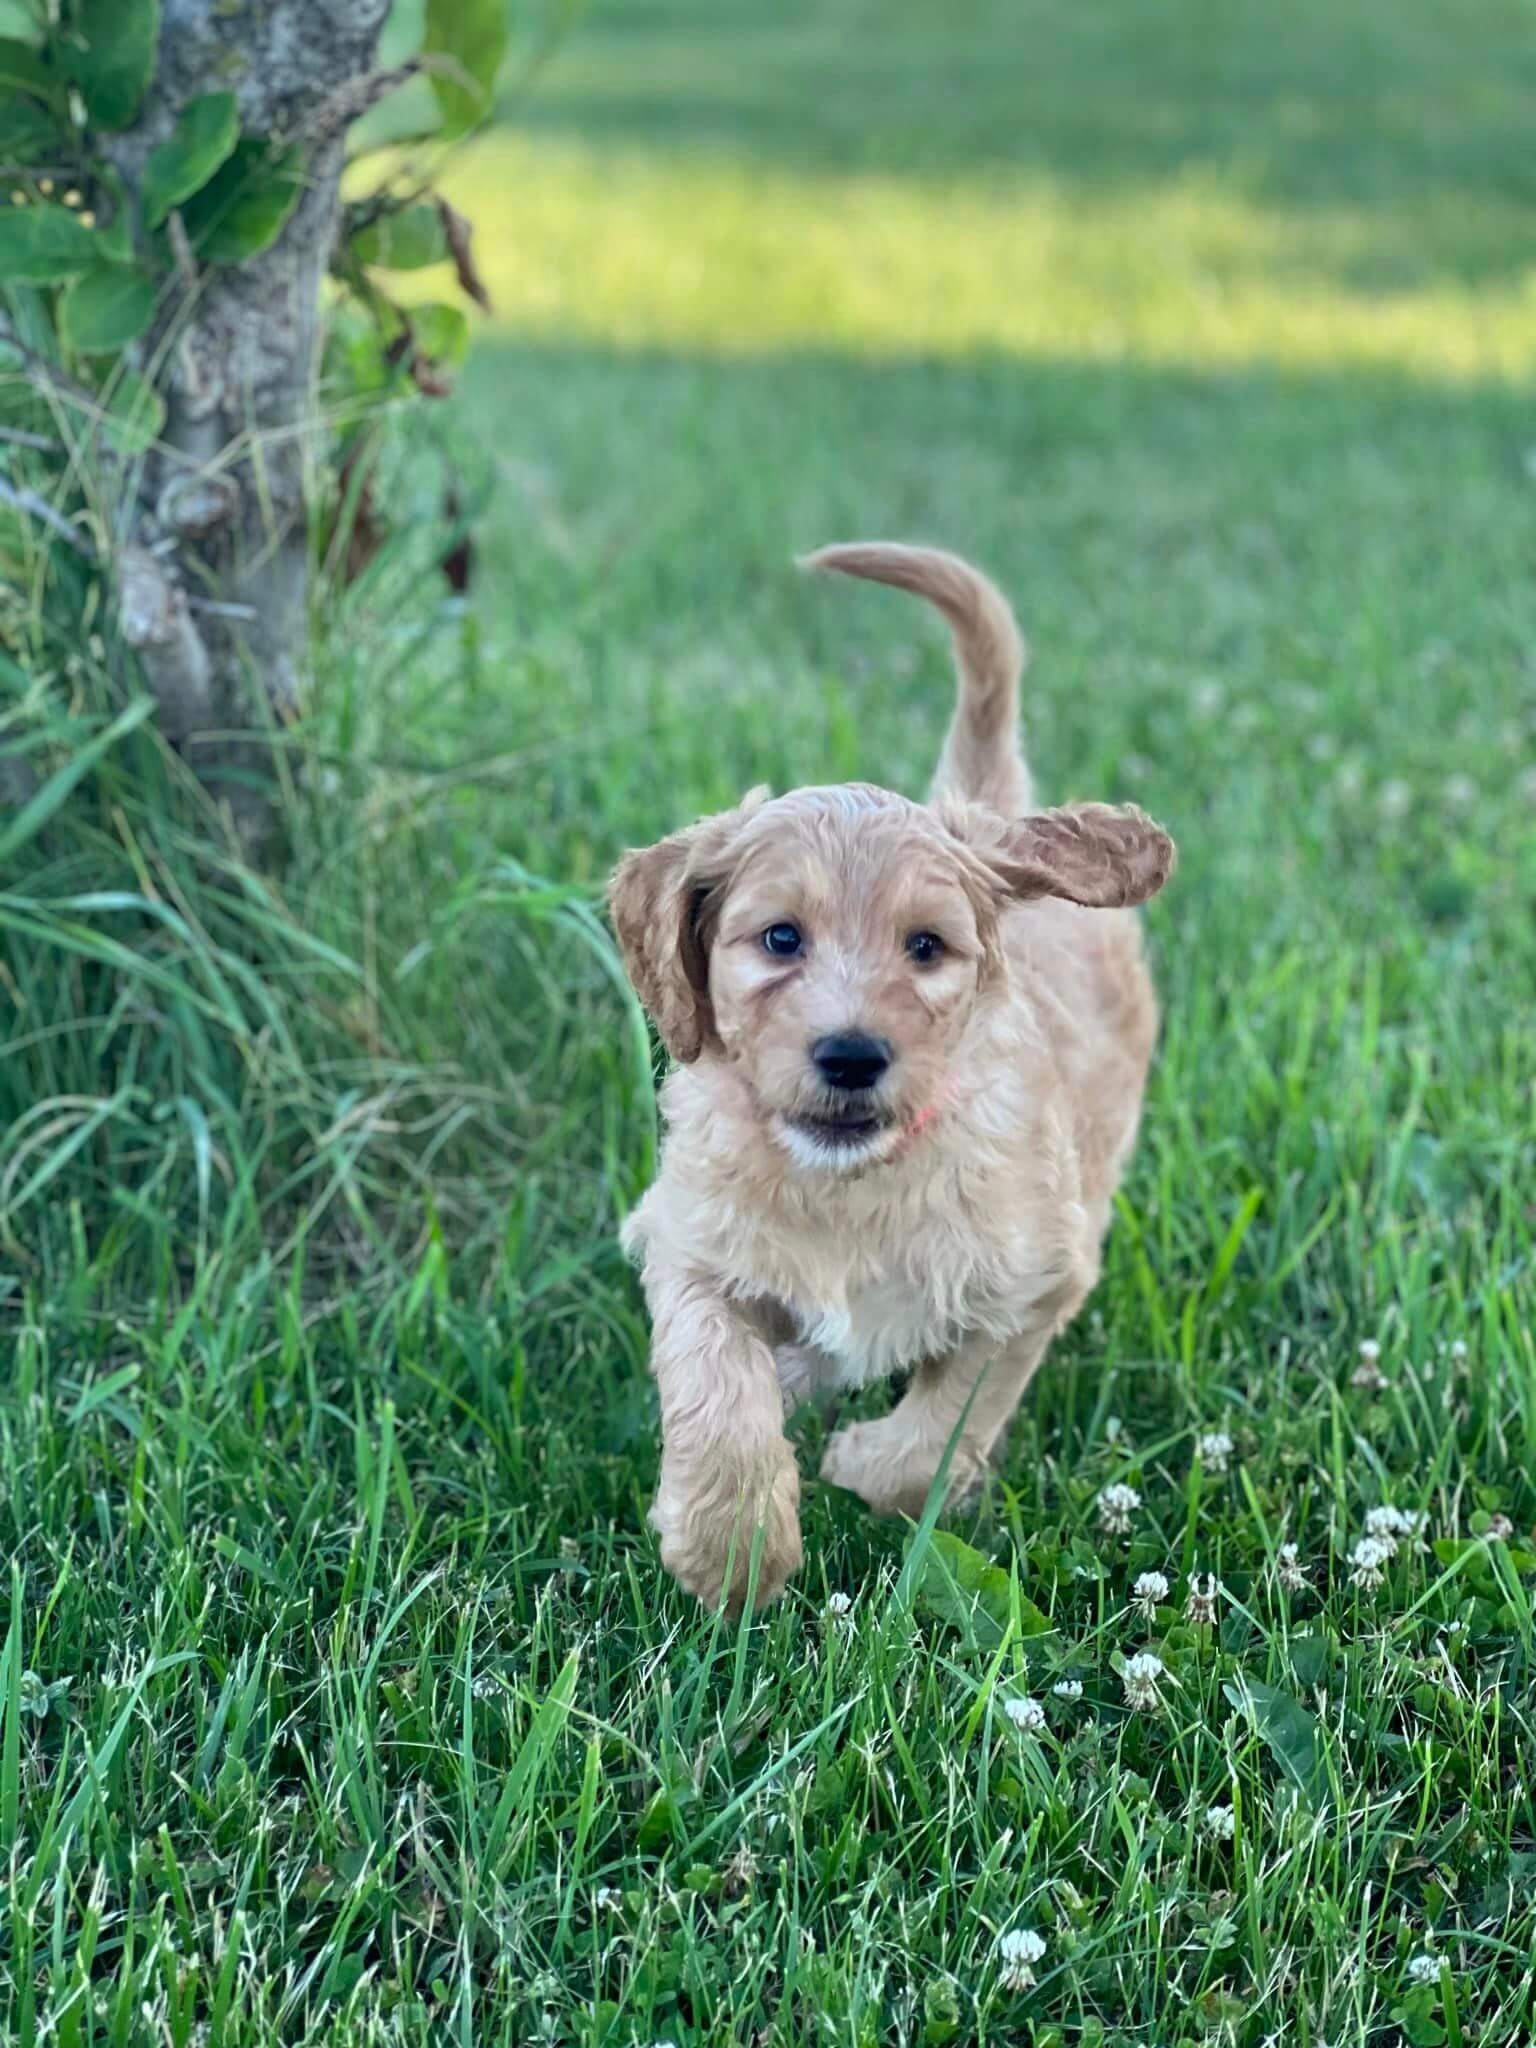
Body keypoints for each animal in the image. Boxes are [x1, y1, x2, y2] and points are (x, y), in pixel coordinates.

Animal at [606, 548, 1171, 1613]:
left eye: (927, 948)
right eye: (780, 938)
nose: (852, 1055)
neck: (848, 1186)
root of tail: (990, 806)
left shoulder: (1037, 1280)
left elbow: (948, 1420)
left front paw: (865, 1467)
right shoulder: (688, 1243)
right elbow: (716, 1380)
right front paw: (731, 1548)